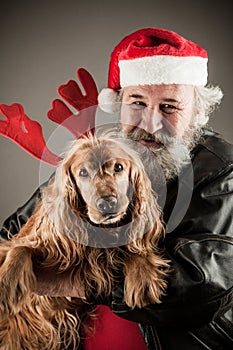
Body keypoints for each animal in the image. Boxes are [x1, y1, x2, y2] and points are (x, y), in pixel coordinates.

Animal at [0, 134, 169, 350]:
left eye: (118, 167)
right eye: (83, 172)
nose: (107, 203)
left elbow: (133, 250)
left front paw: (143, 278)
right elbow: (20, 248)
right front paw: (6, 285)